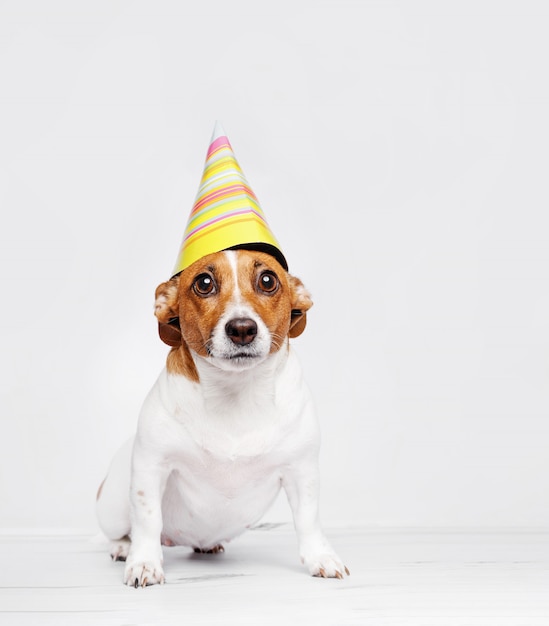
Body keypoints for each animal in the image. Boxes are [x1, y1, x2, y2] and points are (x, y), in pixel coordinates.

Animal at [95, 246, 346, 584]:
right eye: (204, 283)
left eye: (268, 280)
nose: (242, 329)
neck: (235, 391)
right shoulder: (152, 467)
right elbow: (147, 520)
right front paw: (144, 562)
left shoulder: (301, 472)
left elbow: (308, 520)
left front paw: (322, 557)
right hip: (112, 508)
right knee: (123, 530)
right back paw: (123, 547)